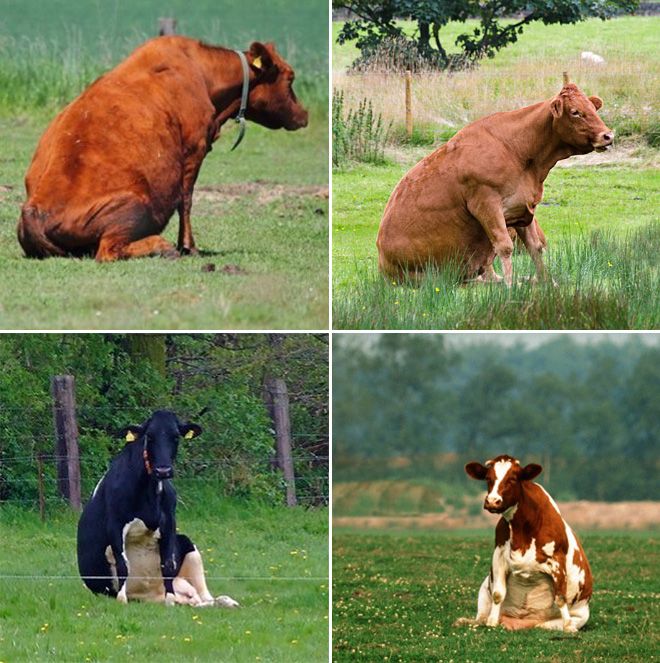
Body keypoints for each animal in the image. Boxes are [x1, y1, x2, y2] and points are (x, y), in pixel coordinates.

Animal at [18, 35, 310, 260]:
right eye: (291, 78)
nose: (305, 114)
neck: (202, 75)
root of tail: (33, 209)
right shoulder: (194, 149)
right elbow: (186, 200)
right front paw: (188, 247)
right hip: (134, 206)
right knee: (108, 251)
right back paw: (162, 245)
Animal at [77, 410, 238, 608]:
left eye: (175, 436)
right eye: (150, 436)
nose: (163, 470)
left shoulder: (169, 521)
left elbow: (167, 563)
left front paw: (170, 601)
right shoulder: (115, 524)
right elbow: (123, 563)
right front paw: (121, 600)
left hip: (189, 547)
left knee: (205, 597)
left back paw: (225, 601)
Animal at [376, 78, 612, 286]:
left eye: (593, 108)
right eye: (575, 112)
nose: (608, 136)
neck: (518, 151)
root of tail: (382, 258)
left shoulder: (522, 207)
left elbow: (535, 247)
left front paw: (547, 282)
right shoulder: (486, 203)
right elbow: (505, 246)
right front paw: (510, 287)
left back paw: (525, 279)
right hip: (434, 274)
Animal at [458, 456, 592, 632]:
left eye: (513, 479)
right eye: (488, 478)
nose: (492, 501)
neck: (523, 529)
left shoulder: (557, 560)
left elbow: (560, 597)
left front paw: (569, 627)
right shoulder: (498, 555)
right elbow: (498, 594)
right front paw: (491, 622)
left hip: (579, 616)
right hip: (483, 591)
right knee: (481, 617)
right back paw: (466, 621)